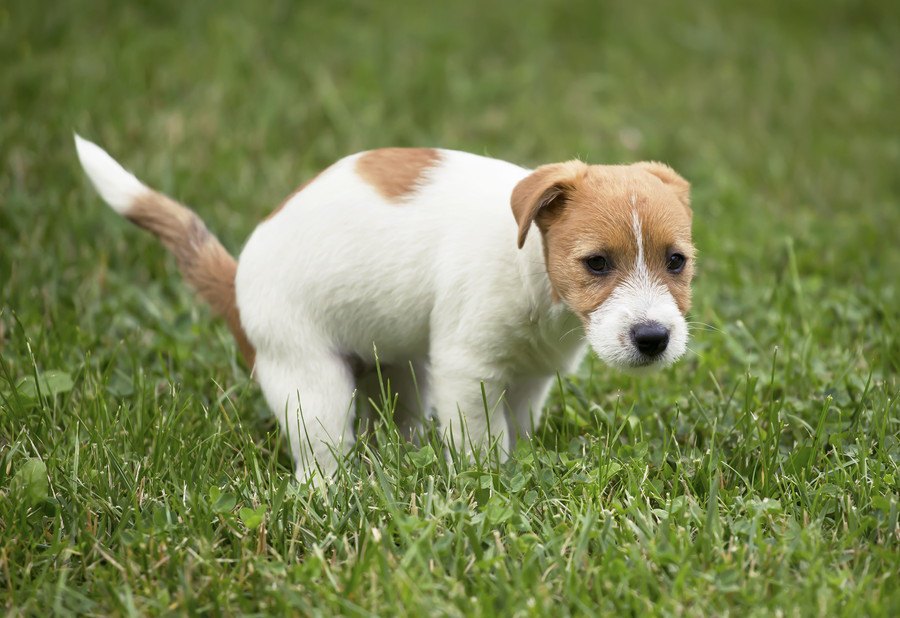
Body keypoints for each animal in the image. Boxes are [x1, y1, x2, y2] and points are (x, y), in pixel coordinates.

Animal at [77, 137, 696, 478]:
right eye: (596, 263)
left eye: (676, 262)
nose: (652, 338)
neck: (535, 272)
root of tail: (235, 285)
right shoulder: (467, 371)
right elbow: (483, 442)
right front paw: (488, 480)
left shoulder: (529, 377)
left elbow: (515, 428)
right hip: (312, 387)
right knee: (319, 462)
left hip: (401, 372)